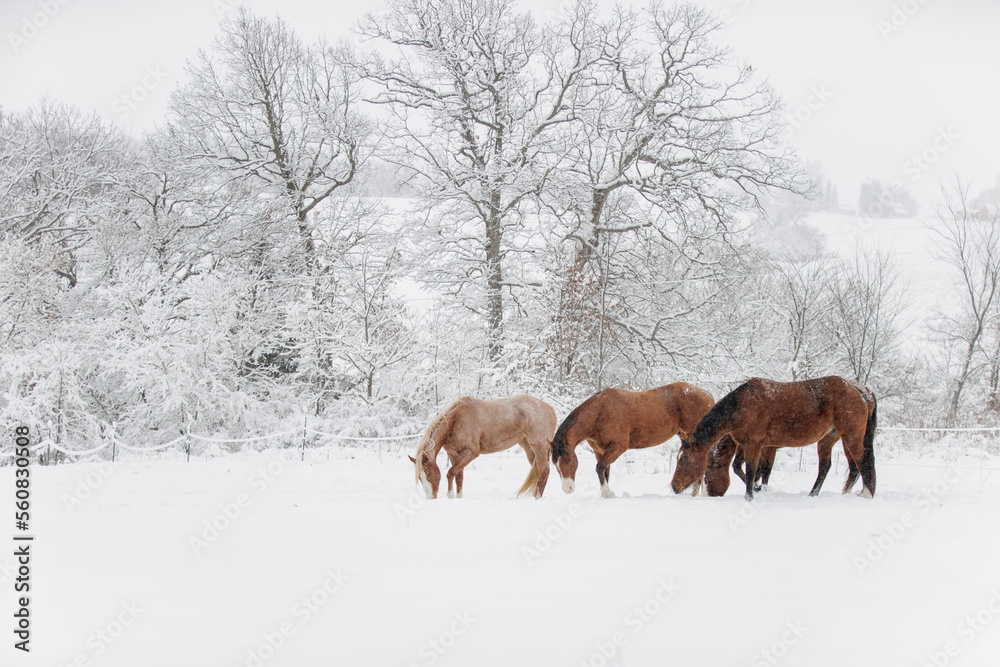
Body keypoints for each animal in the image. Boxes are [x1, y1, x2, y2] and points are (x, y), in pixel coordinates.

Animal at [410, 394, 560, 498]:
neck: (456, 420)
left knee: (544, 472)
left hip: (539, 447)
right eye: (420, 478)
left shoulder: (470, 453)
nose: (430, 497)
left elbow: (450, 473)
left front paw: (450, 496)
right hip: (528, 448)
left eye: (429, 474)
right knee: (539, 473)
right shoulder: (453, 454)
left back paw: (537, 498)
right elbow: (459, 477)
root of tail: (550, 409)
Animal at [548, 384, 728, 498]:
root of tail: (707, 394)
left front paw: (607, 493)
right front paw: (605, 493)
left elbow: (600, 468)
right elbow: (604, 471)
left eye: (570, 461)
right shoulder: (600, 451)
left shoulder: (618, 447)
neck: (599, 413)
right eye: (555, 465)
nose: (568, 489)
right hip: (685, 436)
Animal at [672, 376, 876, 500]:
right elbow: (742, 469)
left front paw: (750, 496)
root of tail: (859, 390)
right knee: (829, 467)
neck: (741, 406)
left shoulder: (755, 446)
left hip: (851, 436)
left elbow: (752, 471)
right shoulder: (747, 445)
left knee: (862, 462)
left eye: (686, 459)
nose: (674, 486)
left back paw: (866, 494)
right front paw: (759, 489)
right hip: (829, 439)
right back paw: (817, 494)